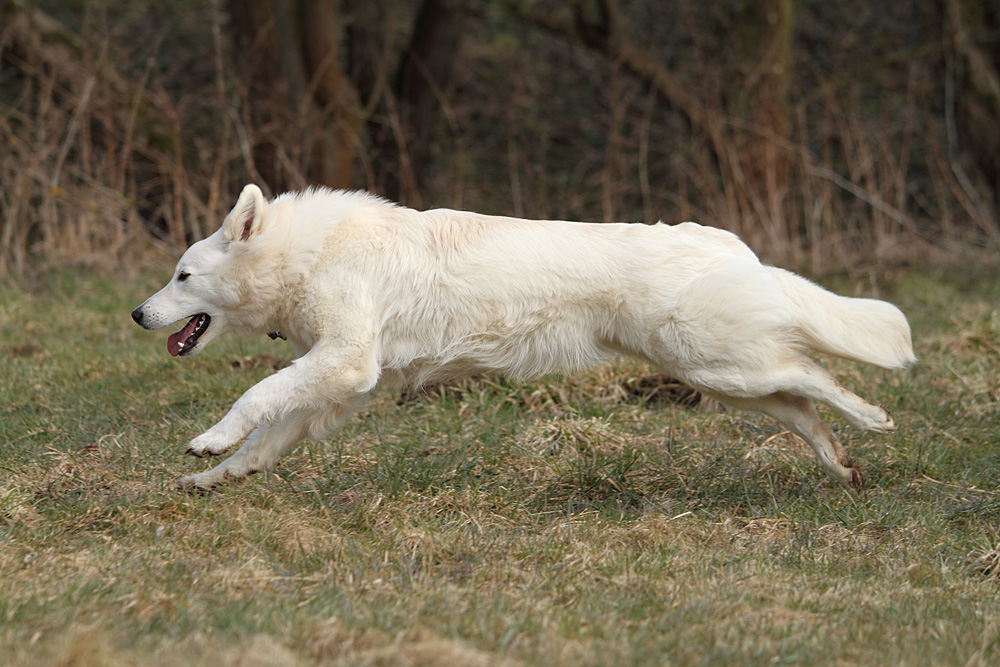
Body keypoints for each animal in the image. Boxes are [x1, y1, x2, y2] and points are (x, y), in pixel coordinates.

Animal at [132, 184, 915, 493]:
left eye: (182, 275)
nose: (138, 315)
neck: (306, 253)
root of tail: (726, 243)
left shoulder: (344, 363)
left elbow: (254, 396)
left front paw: (208, 442)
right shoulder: (341, 385)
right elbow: (268, 435)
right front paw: (213, 478)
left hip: (720, 367)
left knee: (815, 377)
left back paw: (875, 418)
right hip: (722, 378)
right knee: (802, 405)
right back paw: (844, 465)